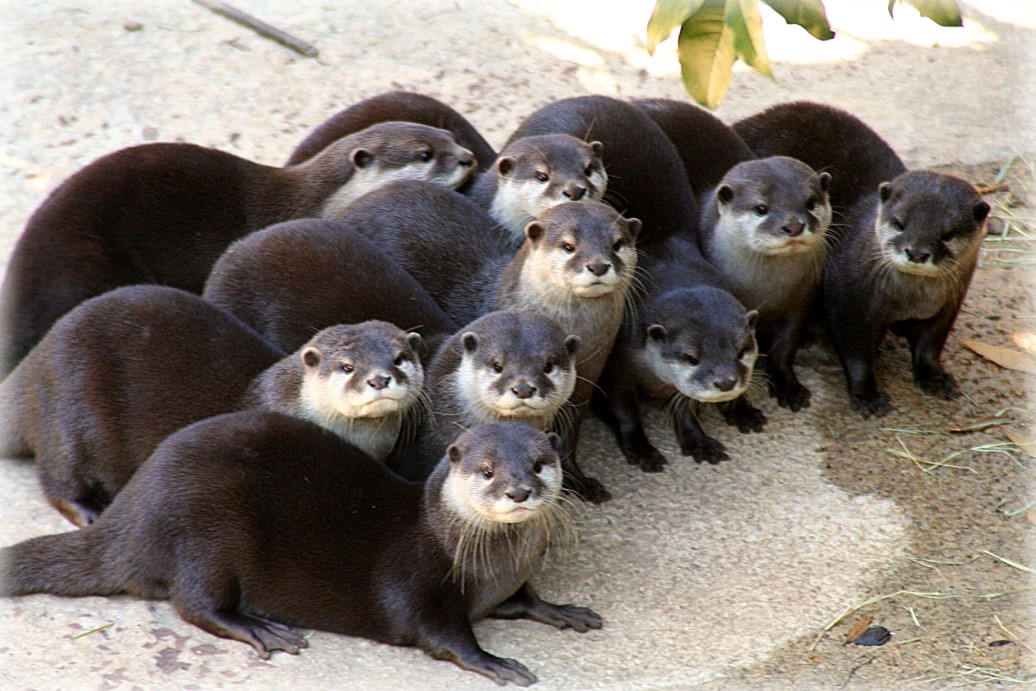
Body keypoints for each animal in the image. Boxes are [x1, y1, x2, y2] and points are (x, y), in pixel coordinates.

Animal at [0, 286, 423, 526]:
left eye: (399, 358)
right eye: (347, 367)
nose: (379, 378)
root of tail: (35, 362)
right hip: (68, 402)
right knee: (58, 474)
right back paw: (90, 511)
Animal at [1, 417, 602, 686]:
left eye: (540, 463)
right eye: (487, 470)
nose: (519, 490)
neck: (485, 566)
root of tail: (128, 511)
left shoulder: (503, 586)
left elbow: (525, 600)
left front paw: (563, 610)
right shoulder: (420, 583)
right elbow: (441, 635)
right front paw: (495, 662)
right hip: (206, 528)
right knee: (194, 602)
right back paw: (261, 628)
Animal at [697, 156, 833, 411]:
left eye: (810, 202)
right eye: (761, 208)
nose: (794, 226)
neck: (766, 294)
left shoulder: (798, 304)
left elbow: (785, 348)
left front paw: (789, 386)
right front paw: (738, 408)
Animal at [822, 171, 989, 416]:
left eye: (948, 235)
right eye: (899, 224)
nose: (917, 253)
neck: (908, 303)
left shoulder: (948, 306)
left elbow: (930, 344)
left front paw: (934, 377)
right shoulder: (847, 303)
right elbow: (856, 353)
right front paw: (867, 395)